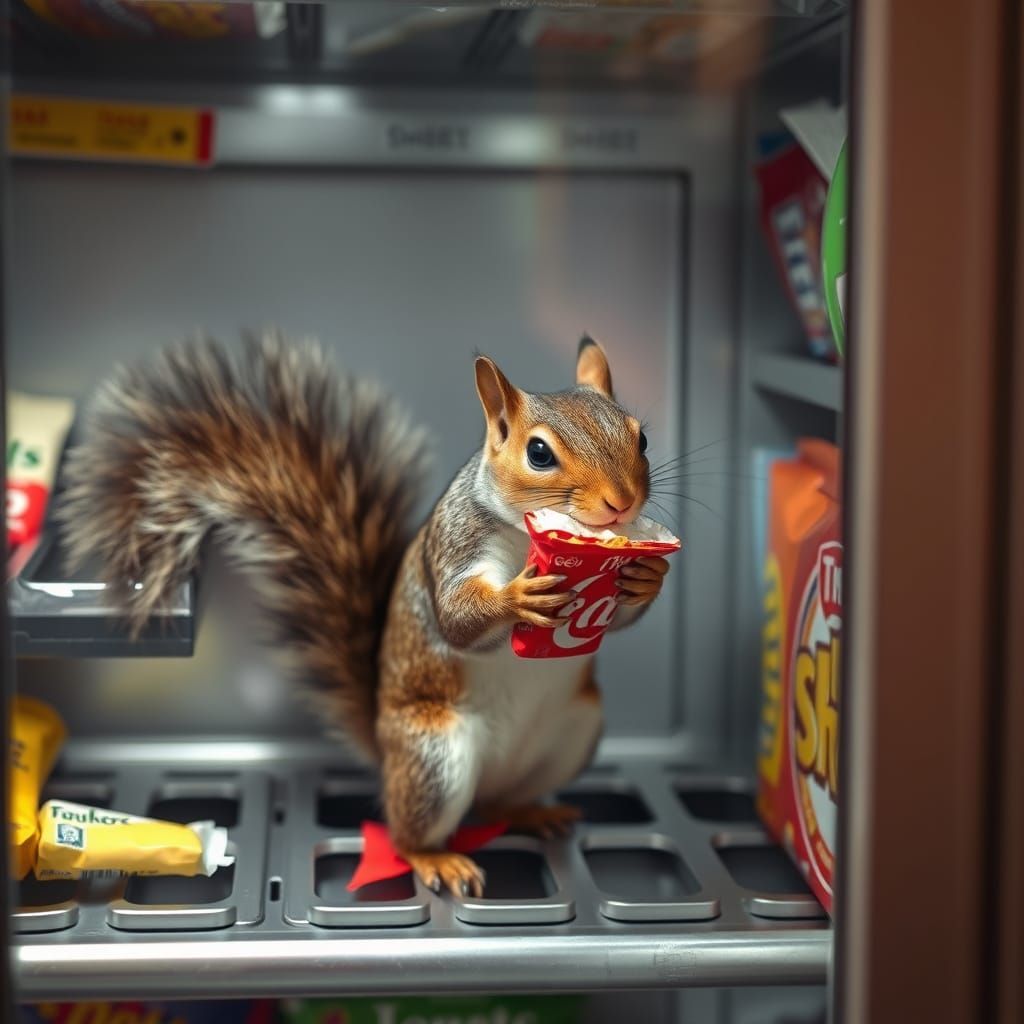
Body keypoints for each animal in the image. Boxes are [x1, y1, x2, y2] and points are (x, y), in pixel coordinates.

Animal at [59, 331, 670, 897]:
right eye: (539, 453)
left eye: (641, 436)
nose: (622, 502)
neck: (526, 536)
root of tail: (386, 747)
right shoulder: (451, 548)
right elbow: (456, 620)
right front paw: (517, 597)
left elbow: (619, 614)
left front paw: (647, 575)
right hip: (435, 756)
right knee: (407, 833)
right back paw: (435, 858)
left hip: (573, 731)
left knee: (500, 804)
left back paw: (532, 811)